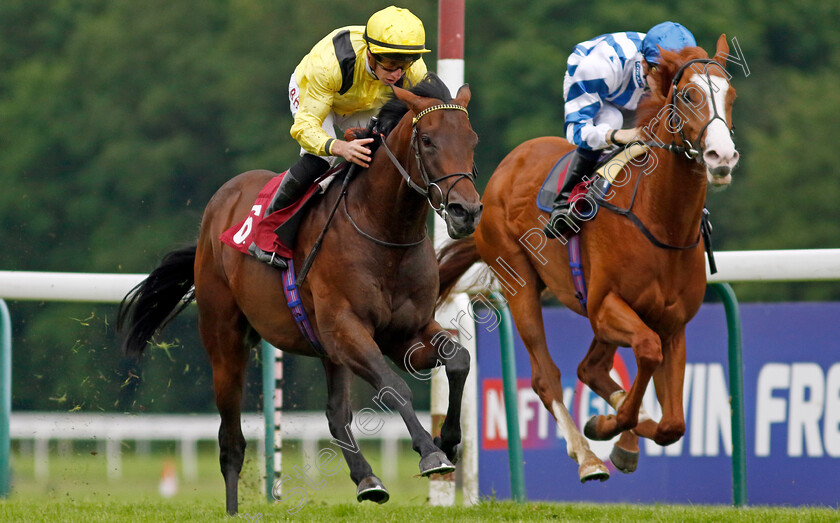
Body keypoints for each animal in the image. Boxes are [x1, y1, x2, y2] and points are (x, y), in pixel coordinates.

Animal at [120, 74, 482, 516]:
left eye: (472, 139)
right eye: (427, 140)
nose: (466, 212)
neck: (384, 231)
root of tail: (218, 207)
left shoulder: (403, 333)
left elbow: (458, 359)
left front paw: (448, 441)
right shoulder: (346, 327)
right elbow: (394, 387)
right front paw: (430, 453)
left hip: (328, 349)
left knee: (335, 414)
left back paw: (367, 479)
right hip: (225, 339)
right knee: (230, 439)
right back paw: (234, 510)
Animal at [436, 36, 740, 486]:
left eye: (730, 94)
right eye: (689, 94)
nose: (722, 157)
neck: (661, 222)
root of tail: (508, 164)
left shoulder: (672, 323)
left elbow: (673, 424)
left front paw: (624, 432)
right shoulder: (606, 307)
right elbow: (646, 352)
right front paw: (606, 425)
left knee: (590, 369)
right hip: (520, 281)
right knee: (548, 377)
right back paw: (588, 456)